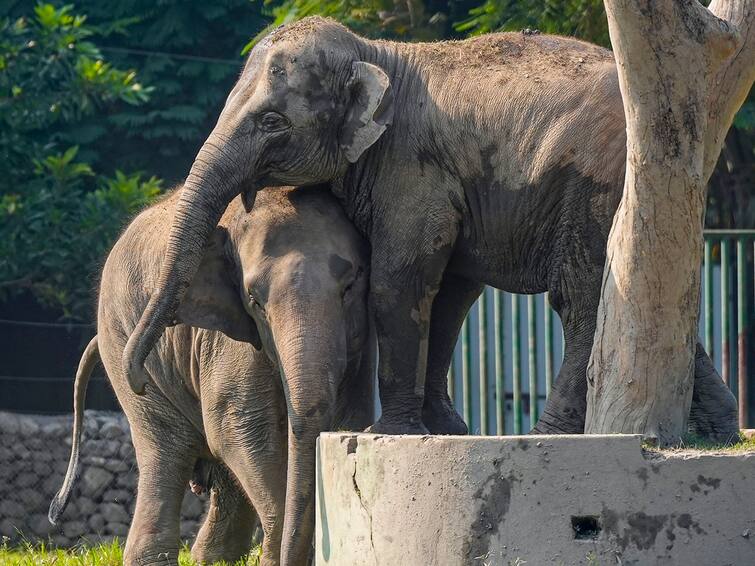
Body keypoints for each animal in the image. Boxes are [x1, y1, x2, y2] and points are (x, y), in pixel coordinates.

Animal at [50, 184, 376, 564]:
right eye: (254, 301)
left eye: (350, 285)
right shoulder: (227, 339)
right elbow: (241, 427)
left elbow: (351, 414)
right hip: (122, 343)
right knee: (166, 448)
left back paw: (210, 557)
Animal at [124, 16, 740, 444]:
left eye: (272, 121)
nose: (138, 383)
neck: (375, 54)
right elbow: (449, 295)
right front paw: (446, 429)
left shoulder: (412, 171)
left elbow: (400, 283)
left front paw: (388, 434)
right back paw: (716, 433)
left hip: (599, 186)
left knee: (582, 299)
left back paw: (549, 435)